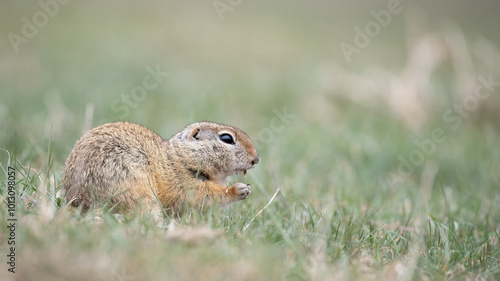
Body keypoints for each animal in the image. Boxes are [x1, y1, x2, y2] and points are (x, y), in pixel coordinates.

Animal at [62, 120, 260, 217]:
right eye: (227, 138)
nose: (256, 159)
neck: (180, 159)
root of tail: (81, 203)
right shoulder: (186, 185)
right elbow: (207, 196)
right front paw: (238, 190)